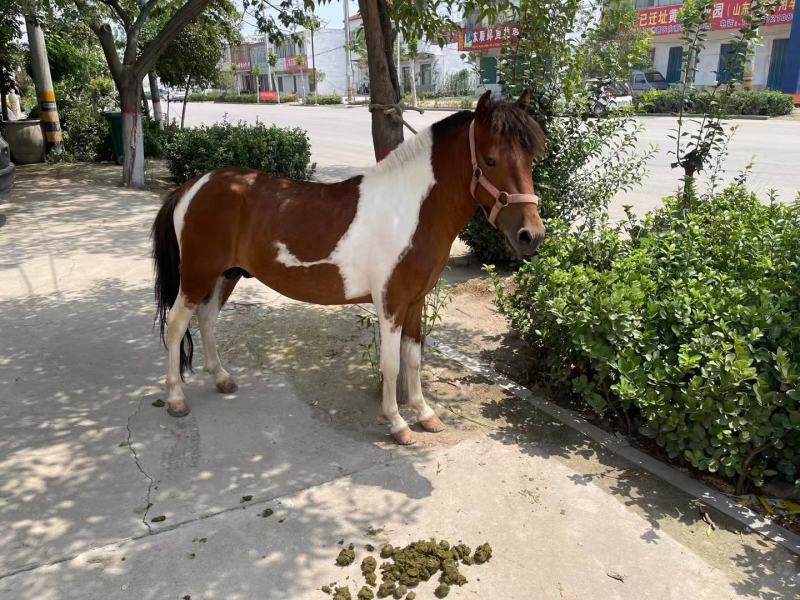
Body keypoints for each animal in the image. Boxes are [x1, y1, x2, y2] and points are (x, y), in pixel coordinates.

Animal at [151, 90, 546, 445]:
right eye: (491, 160)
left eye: (530, 158)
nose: (530, 235)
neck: (409, 210)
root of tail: (193, 187)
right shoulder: (390, 304)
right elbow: (391, 364)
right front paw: (398, 424)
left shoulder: (415, 302)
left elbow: (414, 358)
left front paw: (425, 414)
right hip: (197, 275)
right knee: (177, 325)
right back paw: (176, 399)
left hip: (225, 275)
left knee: (206, 319)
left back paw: (221, 378)